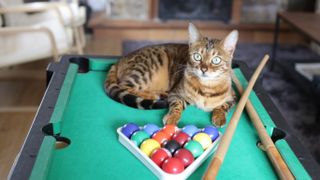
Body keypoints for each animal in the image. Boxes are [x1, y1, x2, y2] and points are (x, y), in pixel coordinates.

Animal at [105, 22, 238, 126]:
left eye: (216, 60)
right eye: (197, 56)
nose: (203, 69)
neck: (207, 88)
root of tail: (119, 61)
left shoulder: (233, 96)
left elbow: (223, 106)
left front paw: (219, 117)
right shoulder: (176, 93)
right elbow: (177, 104)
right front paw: (172, 117)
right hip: (148, 68)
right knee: (124, 86)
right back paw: (154, 95)